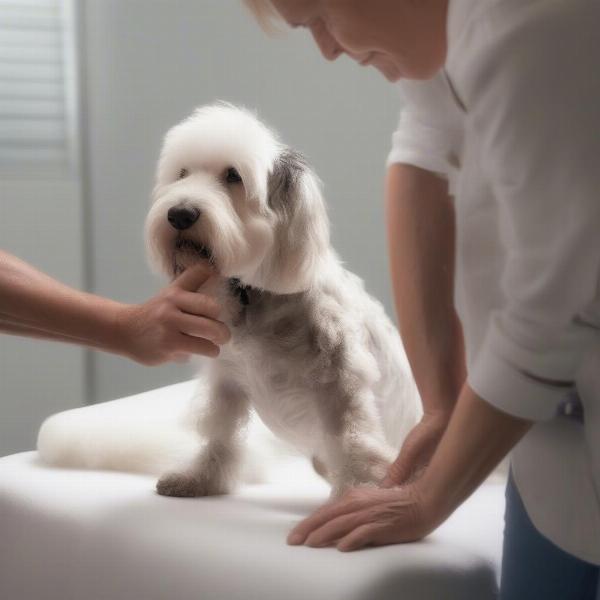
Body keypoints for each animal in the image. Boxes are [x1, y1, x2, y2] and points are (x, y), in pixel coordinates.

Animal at [143, 102, 420, 496]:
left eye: (233, 175)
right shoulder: (228, 381)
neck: (256, 295)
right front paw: (202, 477)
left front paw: (359, 494)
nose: (180, 214)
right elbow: (220, 434)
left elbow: (353, 438)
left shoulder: (340, 381)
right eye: (182, 173)